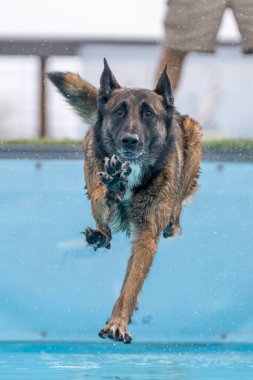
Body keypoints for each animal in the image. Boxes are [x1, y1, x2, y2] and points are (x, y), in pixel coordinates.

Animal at [47, 59, 202, 344]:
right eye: (119, 112)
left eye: (148, 114)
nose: (130, 140)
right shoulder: (97, 178)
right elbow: (100, 199)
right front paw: (113, 187)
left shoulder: (146, 237)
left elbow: (130, 286)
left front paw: (118, 321)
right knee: (101, 220)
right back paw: (100, 233)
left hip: (194, 135)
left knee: (177, 206)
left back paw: (171, 222)